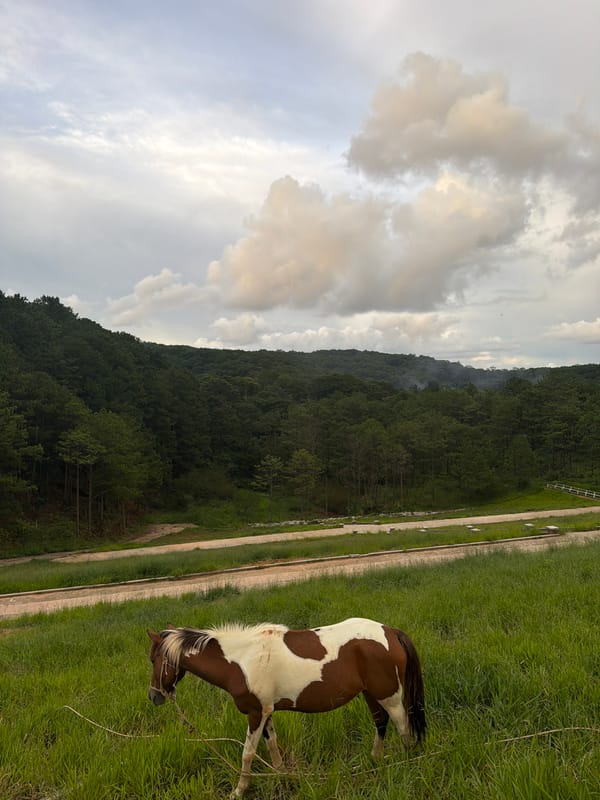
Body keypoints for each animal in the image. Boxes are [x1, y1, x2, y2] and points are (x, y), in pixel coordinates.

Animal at [147, 617, 426, 797]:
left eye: (152, 659)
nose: (153, 696)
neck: (241, 660)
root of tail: (390, 631)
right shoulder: (266, 712)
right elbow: (273, 746)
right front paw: (282, 778)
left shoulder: (255, 713)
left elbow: (248, 753)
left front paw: (238, 791)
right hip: (371, 694)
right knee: (380, 723)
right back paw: (374, 761)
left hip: (389, 697)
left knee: (403, 728)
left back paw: (406, 766)